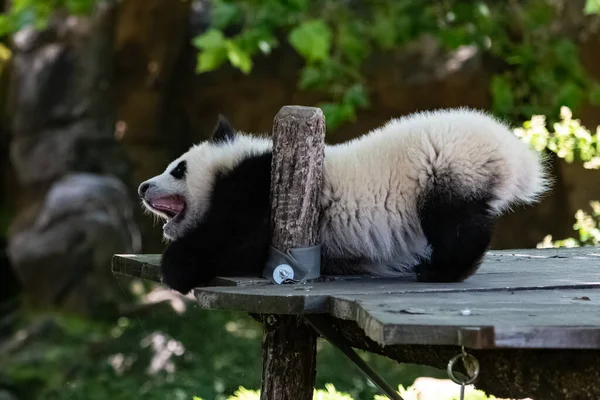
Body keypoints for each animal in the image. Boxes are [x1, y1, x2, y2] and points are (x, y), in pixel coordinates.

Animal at [138, 108, 552, 296]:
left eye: (178, 169)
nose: (143, 187)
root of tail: (514, 154)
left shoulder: (262, 185)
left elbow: (239, 240)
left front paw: (176, 269)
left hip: (444, 170)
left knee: (457, 227)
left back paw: (439, 270)